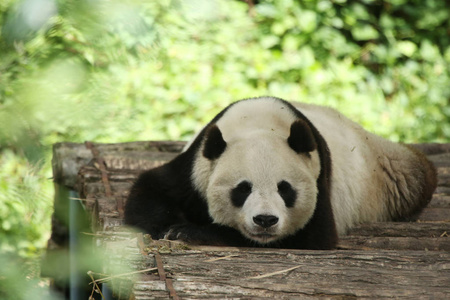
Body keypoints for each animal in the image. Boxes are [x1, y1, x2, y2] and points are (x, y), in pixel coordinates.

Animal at [123, 96, 436, 248]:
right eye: (242, 189)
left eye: (285, 189)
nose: (265, 220)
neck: (260, 124)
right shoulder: (196, 165)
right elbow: (151, 190)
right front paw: (168, 228)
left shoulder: (319, 179)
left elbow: (311, 237)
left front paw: (189, 232)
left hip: (384, 170)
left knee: (416, 178)